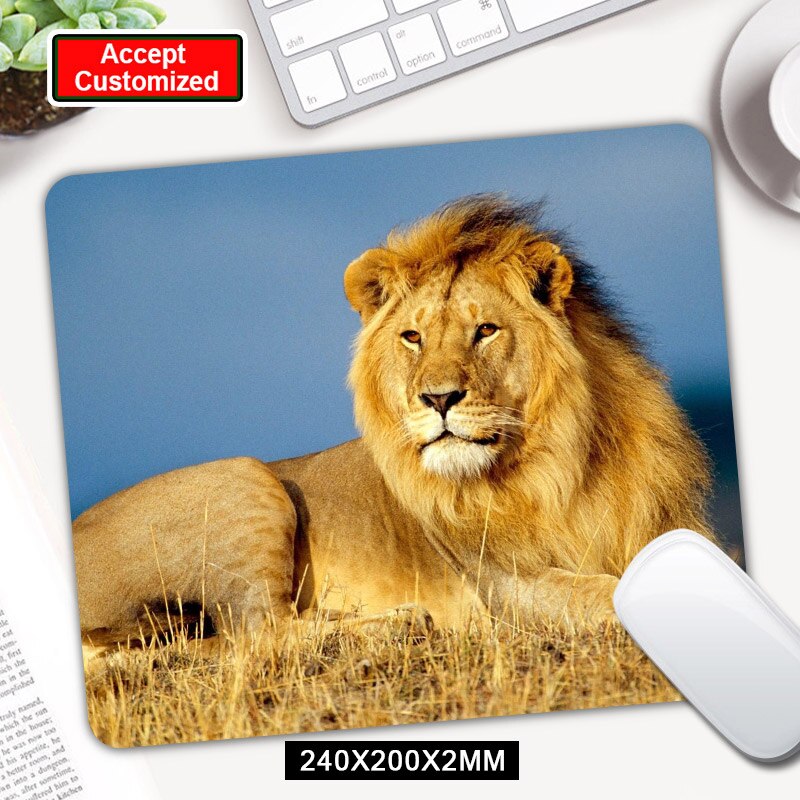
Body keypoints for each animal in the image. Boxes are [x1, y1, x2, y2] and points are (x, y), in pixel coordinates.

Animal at [73, 195, 714, 643]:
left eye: (486, 330)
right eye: (413, 337)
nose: (439, 398)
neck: (563, 466)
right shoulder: (507, 588)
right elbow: (610, 595)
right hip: (244, 478)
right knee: (257, 636)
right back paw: (400, 622)